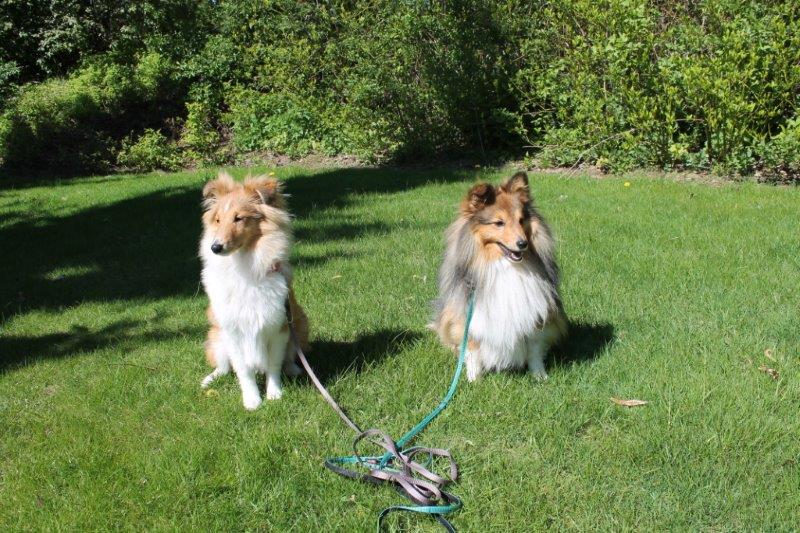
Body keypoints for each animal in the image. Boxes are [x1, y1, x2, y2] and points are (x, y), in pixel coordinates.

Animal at [199, 172, 309, 409]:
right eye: (218, 220)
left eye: (239, 218)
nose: (215, 247)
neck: (244, 267)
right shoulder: (233, 332)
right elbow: (243, 369)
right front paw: (252, 401)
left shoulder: (278, 328)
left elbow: (274, 365)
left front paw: (274, 394)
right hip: (216, 335)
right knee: (223, 366)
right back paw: (209, 379)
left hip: (300, 323)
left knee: (290, 357)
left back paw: (295, 369)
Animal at [430, 171, 567, 382]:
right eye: (499, 223)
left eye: (521, 220)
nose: (522, 244)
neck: (504, 265)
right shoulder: (468, 317)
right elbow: (472, 348)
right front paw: (474, 380)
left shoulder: (536, 314)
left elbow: (534, 350)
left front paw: (539, 376)